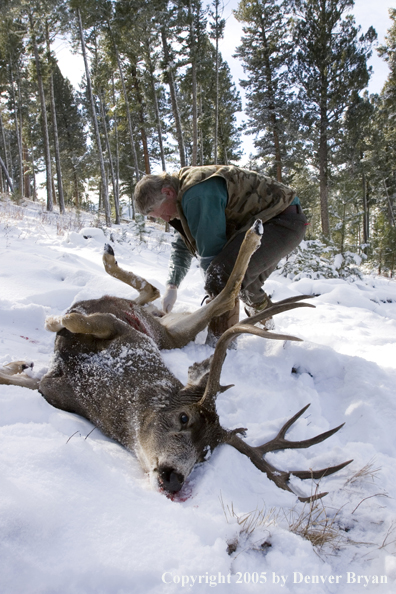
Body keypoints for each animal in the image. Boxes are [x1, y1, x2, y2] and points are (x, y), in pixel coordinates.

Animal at [0, 222, 352, 500]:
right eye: (184, 417)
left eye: (205, 455)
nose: (173, 478)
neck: (99, 394)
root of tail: (163, 325)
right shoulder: (120, 335)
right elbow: (78, 319)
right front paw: (48, 326)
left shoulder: (56, 385)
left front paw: (24, 358)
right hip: (162, 326)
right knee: (181, 294)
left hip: (170, 333)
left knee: (192, 294)